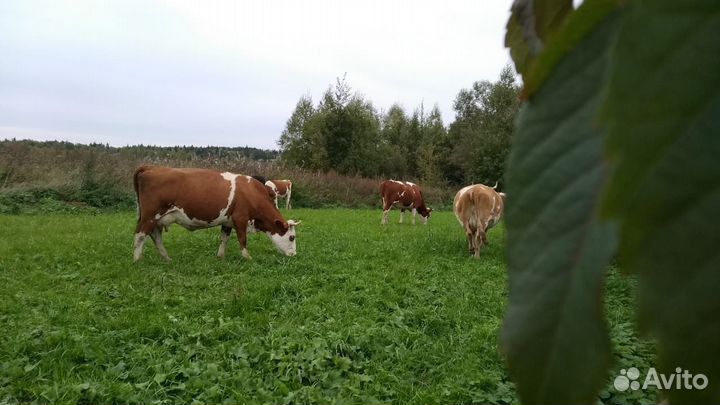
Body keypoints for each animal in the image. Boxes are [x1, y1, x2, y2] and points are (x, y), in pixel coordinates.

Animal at [133, 166, 301, 262]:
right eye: (291, 237)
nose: (294, 254)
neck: (252, 193)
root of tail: (150, 167)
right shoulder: (240, 218)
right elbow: (242, 239)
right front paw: (247, 257)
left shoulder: (228, 221)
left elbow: (224, 239)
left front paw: (220, 256)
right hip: (149, 216)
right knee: (140, 236)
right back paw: (136, 260)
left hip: (157, 219)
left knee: (156, 237)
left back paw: (167, 258)